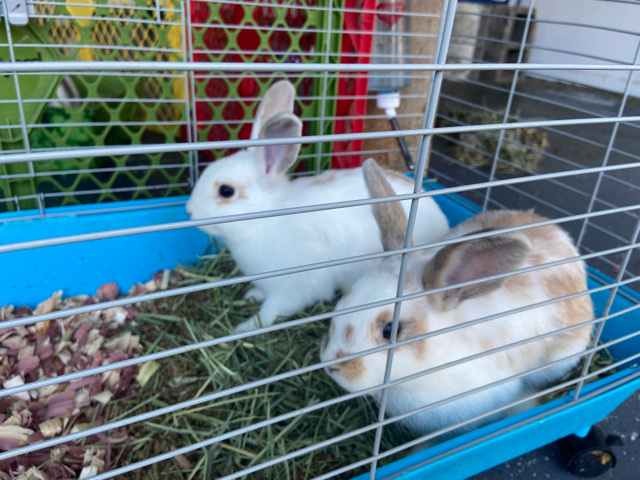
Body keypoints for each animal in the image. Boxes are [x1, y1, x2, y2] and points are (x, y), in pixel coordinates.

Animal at [185, 81, 450, 332]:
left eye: (226, 191)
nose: (189, 211)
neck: (265, 220)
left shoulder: (291, 288)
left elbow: (271, 311)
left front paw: (246, 326)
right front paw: (252, 295)